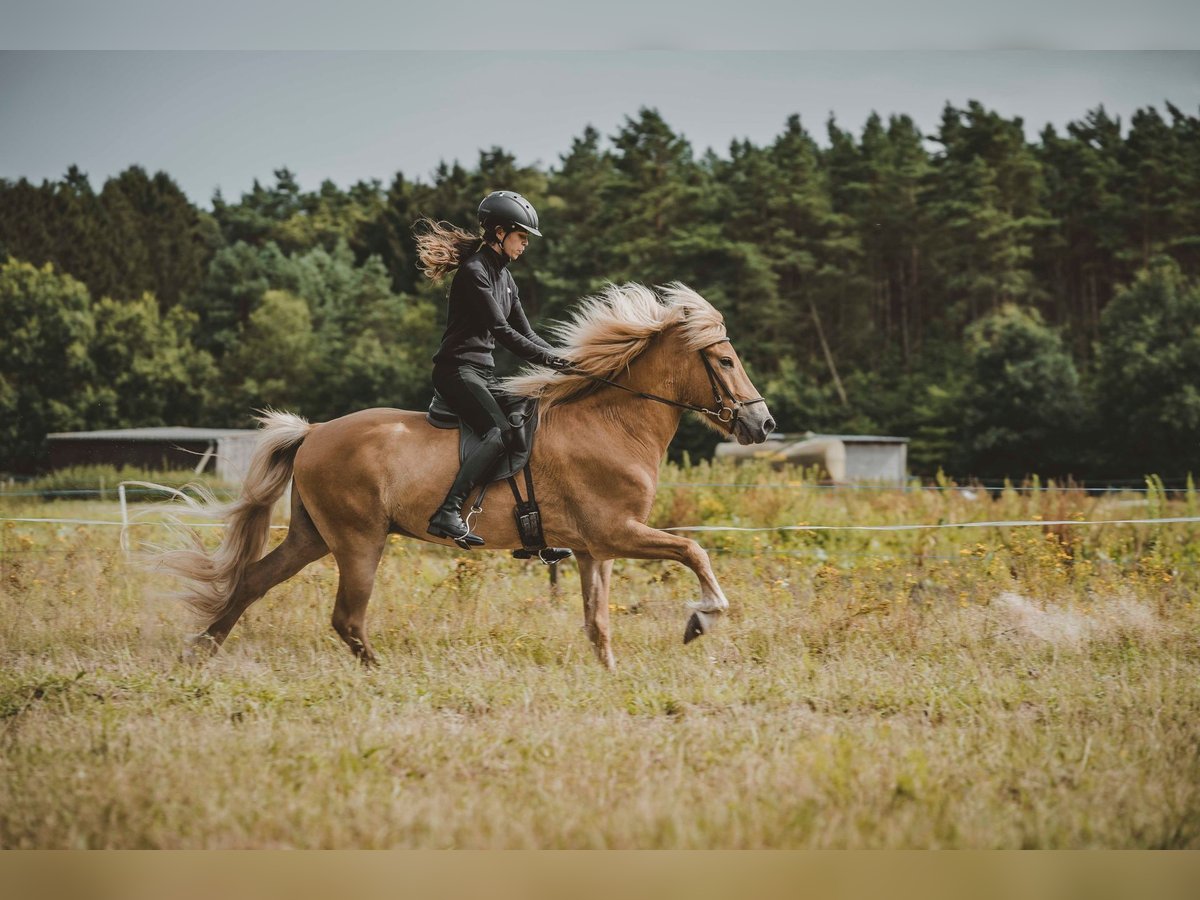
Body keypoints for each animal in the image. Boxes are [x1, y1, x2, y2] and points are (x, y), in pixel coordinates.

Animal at [159, 282, 772, 672]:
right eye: (723, 361)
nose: (762, 423)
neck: (612, 423)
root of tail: (312, 433)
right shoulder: (617, 532)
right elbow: (694, 551)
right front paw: (702, 620)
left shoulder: (595, 547)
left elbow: (597, 622)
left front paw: (611, 675)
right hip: (359, 541)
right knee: (346, 618)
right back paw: (380, 675)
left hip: (314, 537)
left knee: (253, 581)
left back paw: (200, 649)